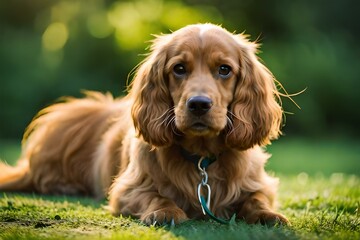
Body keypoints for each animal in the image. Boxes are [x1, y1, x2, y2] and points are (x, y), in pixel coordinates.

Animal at [0, 23, 290, 226]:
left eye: (224, 69)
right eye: (179, 68)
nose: (198, 104)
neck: (201, 157)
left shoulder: (258, 184)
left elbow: (256, 198)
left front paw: (267, 214)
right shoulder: (127, 189)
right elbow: (155, 195)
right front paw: (165, 210)